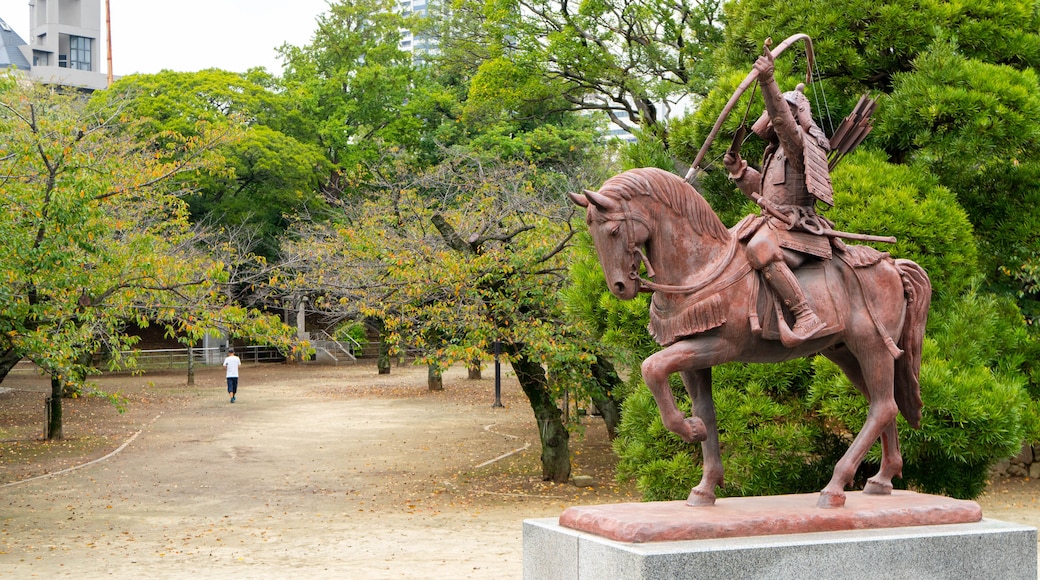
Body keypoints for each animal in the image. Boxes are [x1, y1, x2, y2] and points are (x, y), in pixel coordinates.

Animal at [574, 166, 931, 507]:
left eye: (614, 231)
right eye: (592, 233)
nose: (620, 287)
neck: (702, 265)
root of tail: (892, 266)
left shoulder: (719, 346)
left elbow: (651, 368)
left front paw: (689, 429)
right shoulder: (691, 358)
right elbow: (706, 410)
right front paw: (705, 485)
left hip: (871, 346)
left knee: (882, 406)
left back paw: (835, 486)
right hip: (846, 353)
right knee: (885, 403)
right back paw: (882, 479)